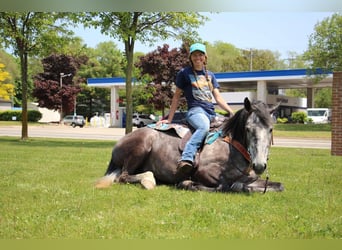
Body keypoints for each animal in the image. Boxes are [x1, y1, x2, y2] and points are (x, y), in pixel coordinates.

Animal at [95, 97, 284, 193]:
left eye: (270, 129)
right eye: (248, 129)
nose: (259, 165)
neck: (231, 146)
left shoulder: (251, 178)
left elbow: (278, 186)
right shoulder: (204, 172)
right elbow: (224, 186)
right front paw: (187, 184)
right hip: (142, 146)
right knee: (123, 176)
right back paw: (148, 180)